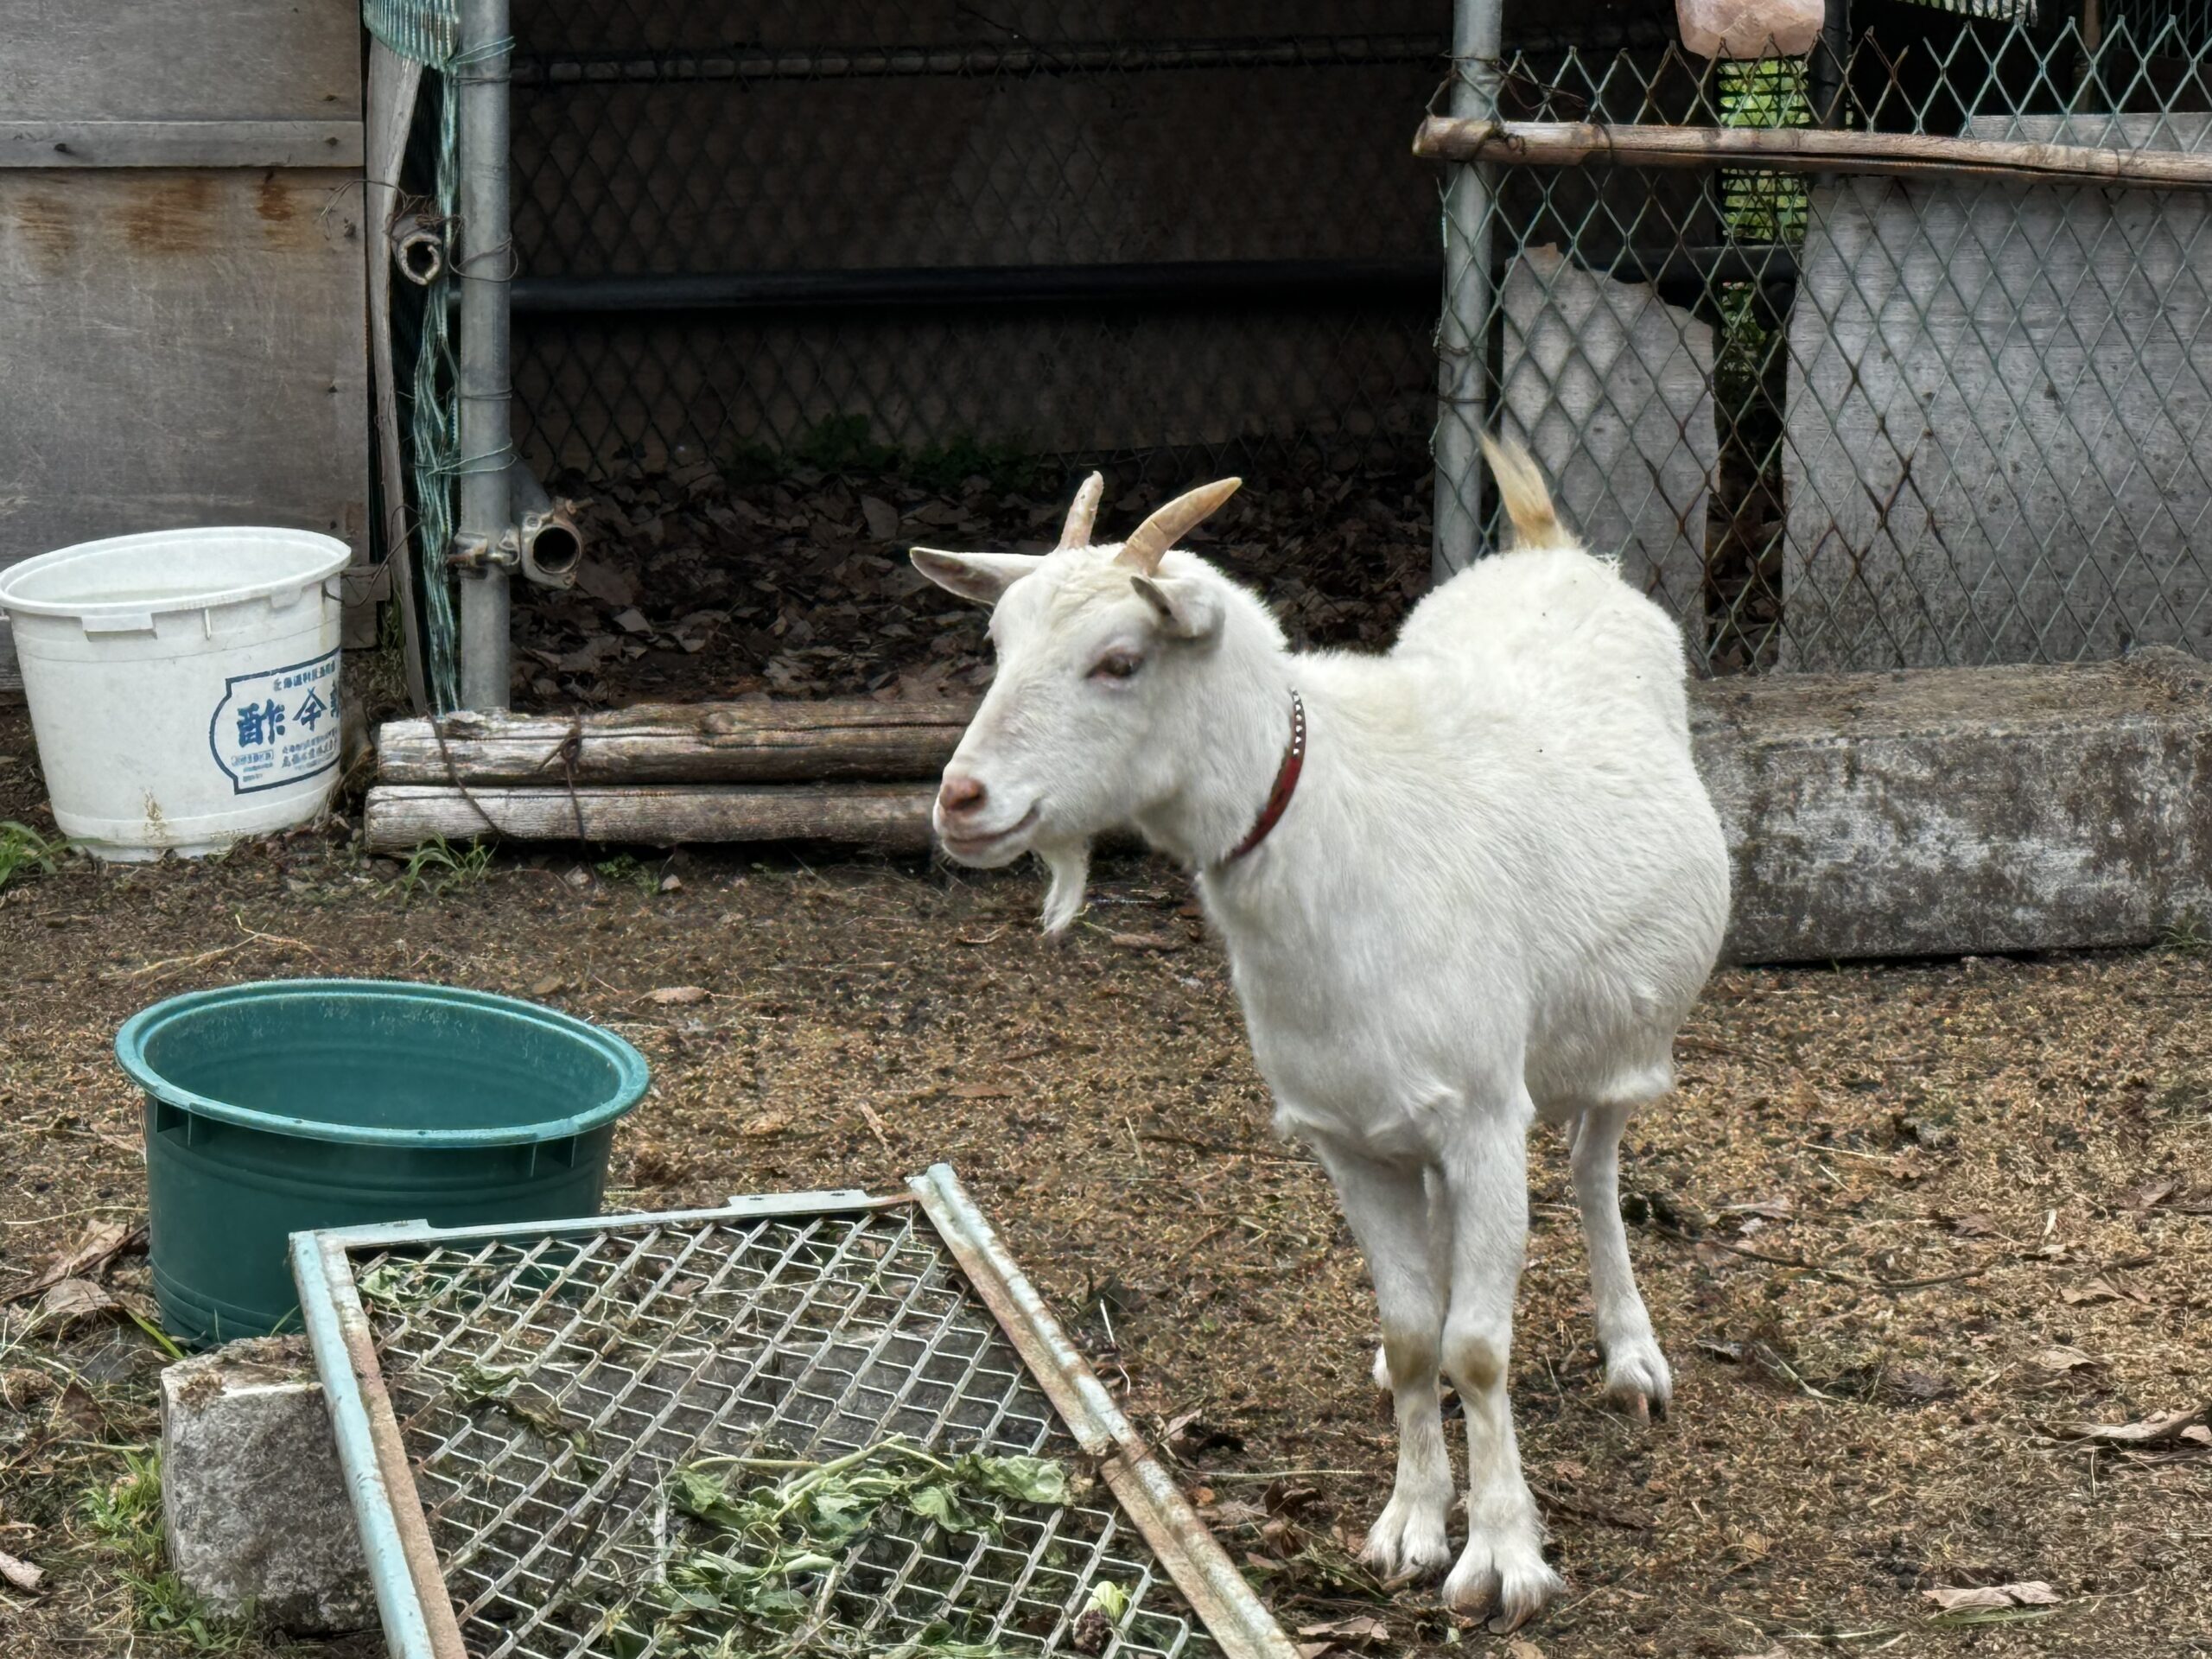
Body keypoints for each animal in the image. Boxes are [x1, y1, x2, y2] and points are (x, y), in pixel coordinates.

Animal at [911, 444, 1725, 1637]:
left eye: (1119, 660)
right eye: (997, 645)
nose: (962, 802)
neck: (1337, 820)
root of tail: (1550, 547)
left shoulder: (1485, 1117)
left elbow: (1478, 1347)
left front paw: (1503, 1559)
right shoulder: (1344, 1135)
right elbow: (1417, 1331)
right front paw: (1410, 1526)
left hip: (1616, 1039)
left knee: (1590, 1165)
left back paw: (1632, 1355)